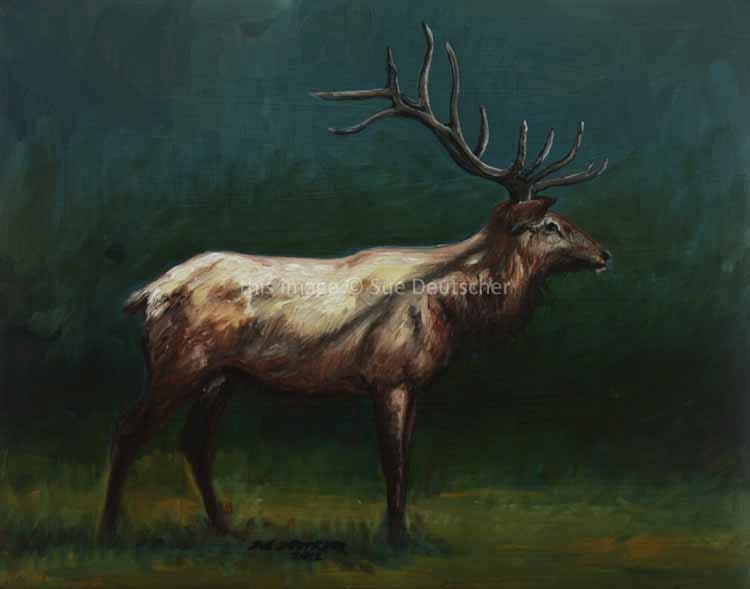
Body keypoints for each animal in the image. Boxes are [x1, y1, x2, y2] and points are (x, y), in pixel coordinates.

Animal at [99, 23, 611, 546]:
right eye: (550, 225)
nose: (603, 254)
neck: (452, 309)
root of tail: (148, 293)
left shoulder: (411, 383)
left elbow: (403, 458)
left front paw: (398, 529)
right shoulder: (388, 376)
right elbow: (393, 463)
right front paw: (395, 536)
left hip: (223, 374)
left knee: (195, 442)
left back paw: (225, 527)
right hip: (180, 361)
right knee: (128, 429)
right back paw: (109, 529)